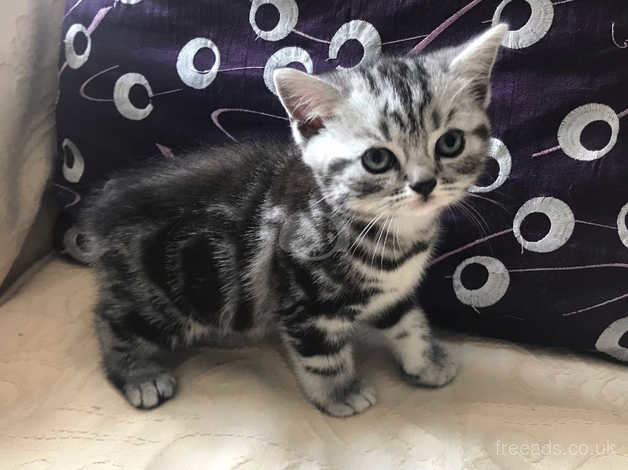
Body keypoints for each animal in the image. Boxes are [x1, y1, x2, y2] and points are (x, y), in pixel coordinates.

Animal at [82, 25, 506, 416]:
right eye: (377, 159)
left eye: (450, 143)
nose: (424, 184)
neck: (390, 233)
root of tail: (101, 211)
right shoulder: (306, 302)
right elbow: (323, 356)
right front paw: (340, 393)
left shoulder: (393, 290)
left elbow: (409, 321)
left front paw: (426, 361)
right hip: (170, 295)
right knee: (112, 319)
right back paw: (140, 374)